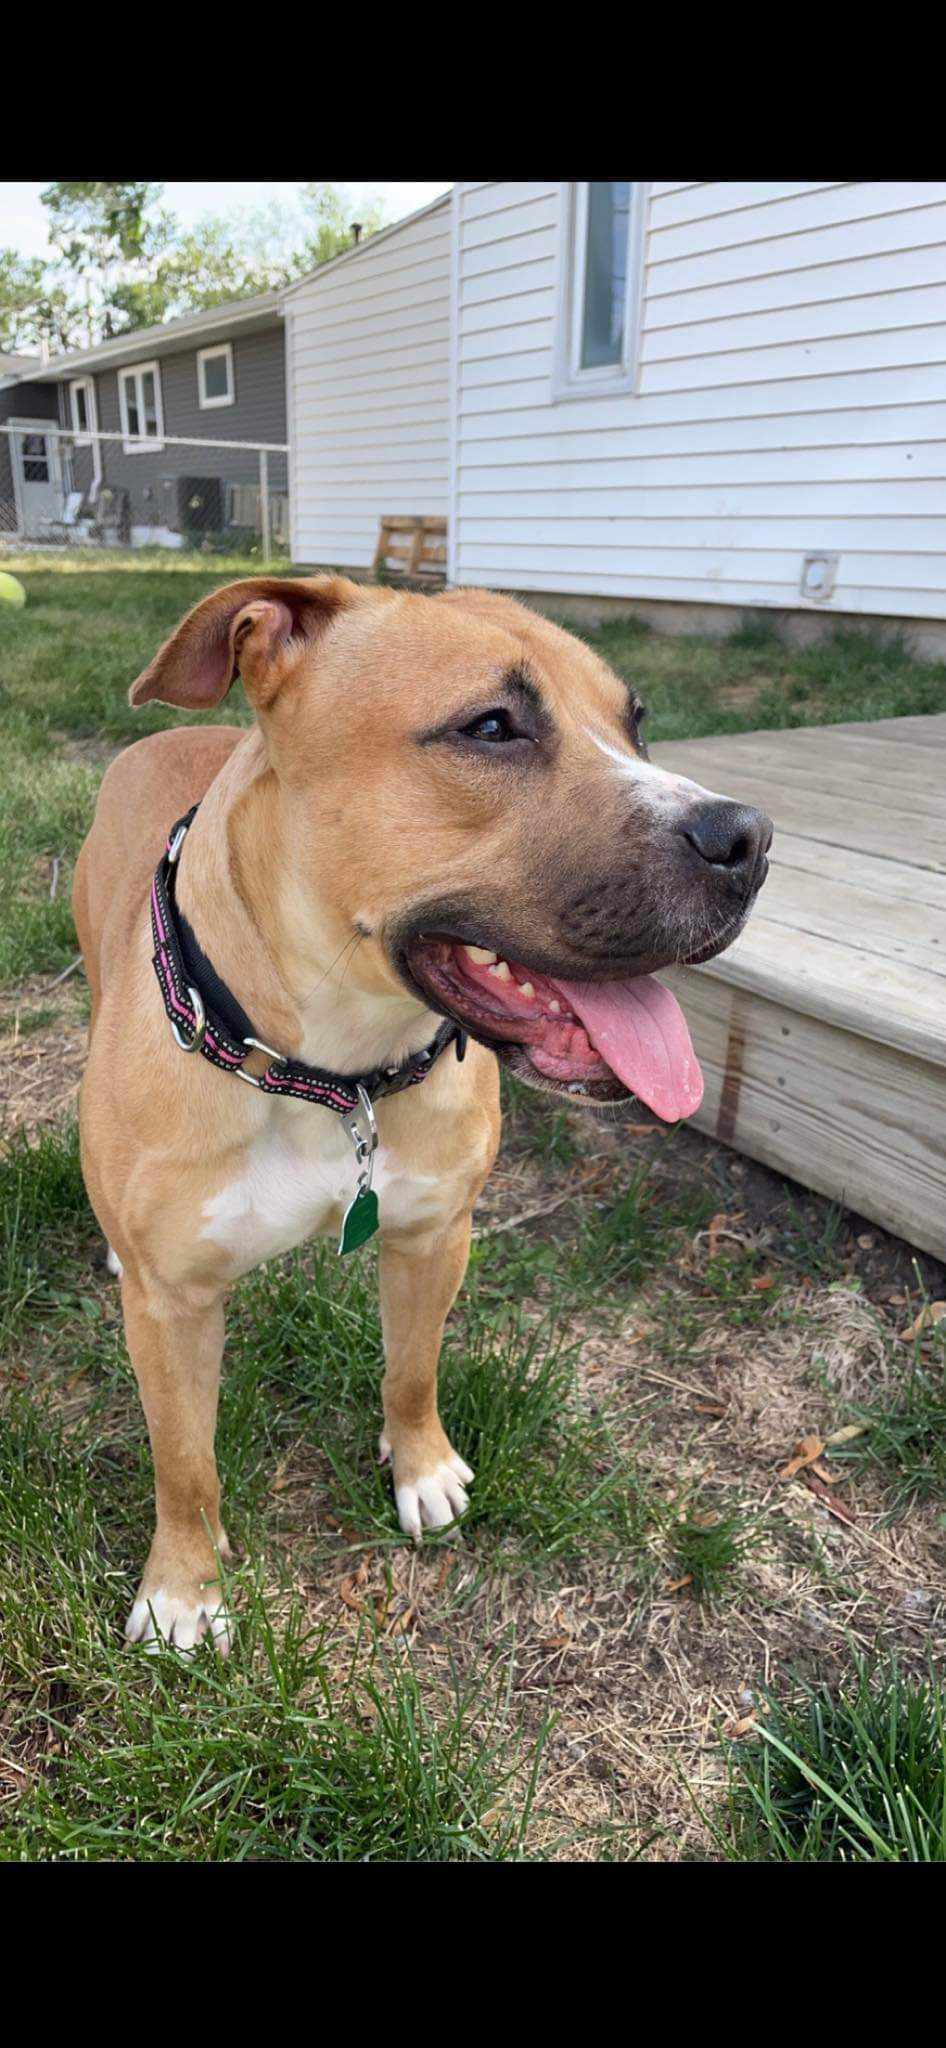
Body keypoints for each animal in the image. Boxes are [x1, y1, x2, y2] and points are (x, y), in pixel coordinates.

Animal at [72, 573, 769, 1646]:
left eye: (636, 722)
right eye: (491, 727)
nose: (749, 838)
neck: (331, 1070)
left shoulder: (436, 1233)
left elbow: (413, 1369)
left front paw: (421, 1468)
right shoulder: (175, 1304)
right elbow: (184, 1463)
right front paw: (184, 1588)